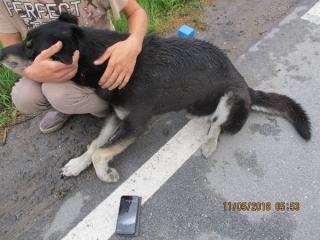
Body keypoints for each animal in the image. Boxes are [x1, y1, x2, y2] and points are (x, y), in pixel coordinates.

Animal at [0, 12, 310, 182]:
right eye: (25, 41)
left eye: (31, 48)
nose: (1, 53)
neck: (100, 58)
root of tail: (245, 84)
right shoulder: (116, 117)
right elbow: (95, 144)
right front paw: (77, 165)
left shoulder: (134, 125)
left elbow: (101, 151)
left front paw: (104, 173)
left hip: (232, 98)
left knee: (218, 126)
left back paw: (210, 143)